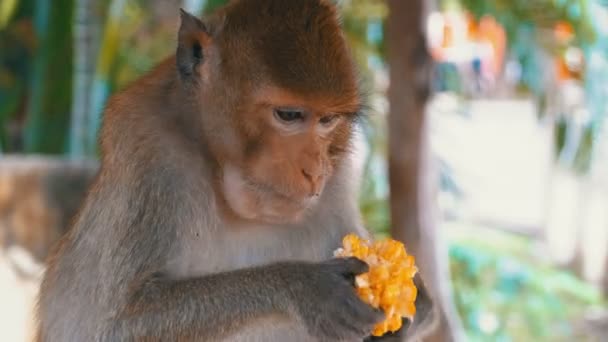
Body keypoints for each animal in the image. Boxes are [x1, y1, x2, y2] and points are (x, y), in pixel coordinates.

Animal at [34, 1, 432, 340]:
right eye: (289, 115)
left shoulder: (341, 172)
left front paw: (408, 309)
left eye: (327, 121)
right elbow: (114, 325)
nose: (316, 171)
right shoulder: (146, 151)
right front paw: (304, 287)